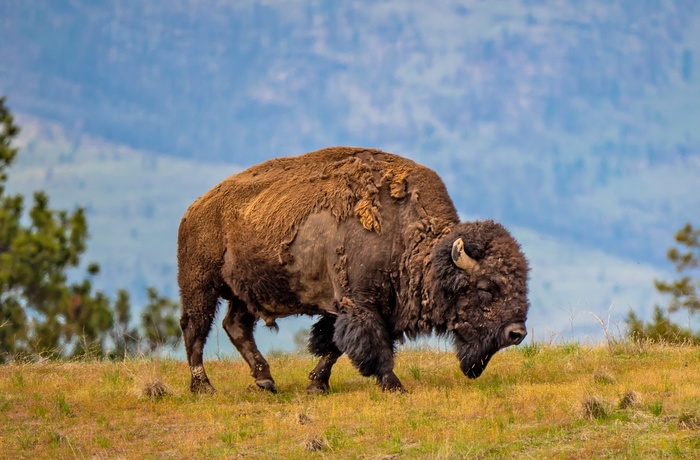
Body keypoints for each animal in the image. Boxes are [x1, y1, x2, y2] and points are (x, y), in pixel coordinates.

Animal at [178, 146, 528, 394]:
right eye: (485, 287)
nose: (517, 333)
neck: (404, 232)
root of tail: (196, 207)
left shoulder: (359, 308)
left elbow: (334, 345)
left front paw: (316, 385)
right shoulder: (360, 304)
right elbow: (371, 345)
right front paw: (395, 386)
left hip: (245, 293)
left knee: (235, 326)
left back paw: (266, 381)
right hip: (200, 285)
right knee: (194, 329)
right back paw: (204, 387)